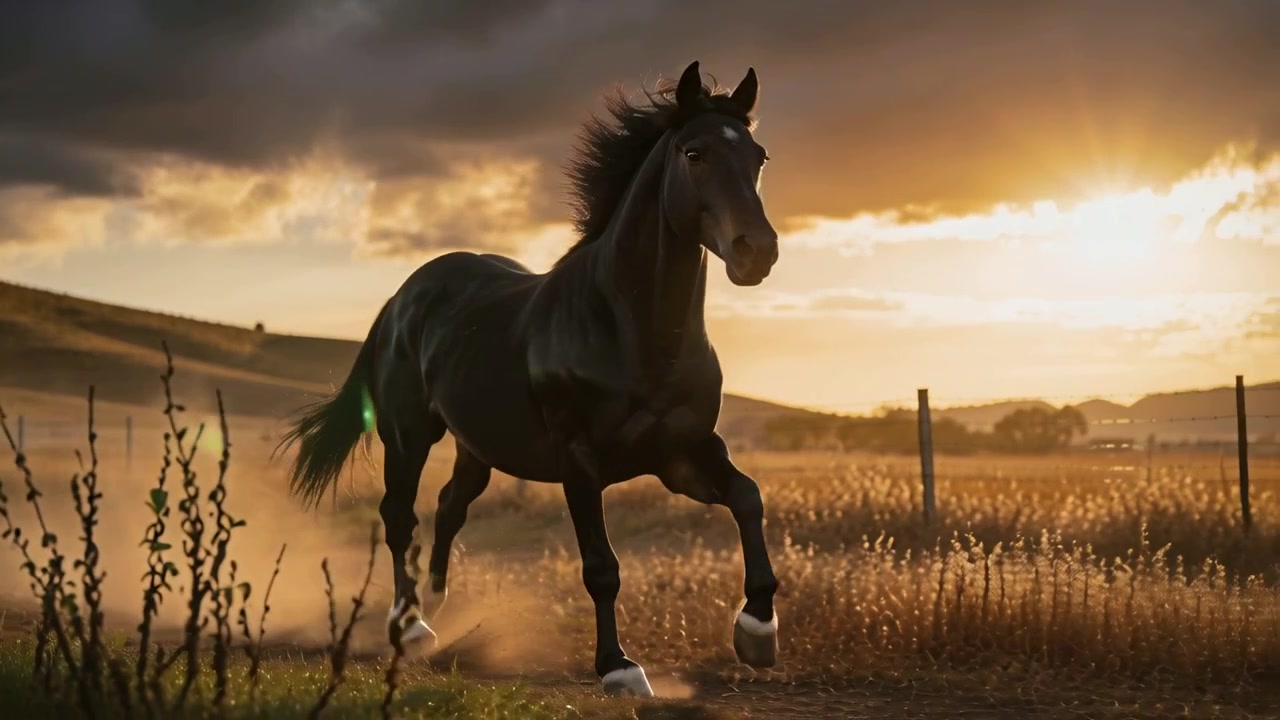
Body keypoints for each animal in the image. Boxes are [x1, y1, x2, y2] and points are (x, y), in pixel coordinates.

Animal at [279, 60, 780, 698]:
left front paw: (757, 632)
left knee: (449, 506)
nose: (755, 251)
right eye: (694, 153)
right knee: (399, 517)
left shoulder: (681, 453)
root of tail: (402, 298)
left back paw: (437, 602)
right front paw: (619, 667)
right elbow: (601, 566)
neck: (630, 329)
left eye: (759, 156)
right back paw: (411, 625)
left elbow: (748, 497)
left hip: (478, 446)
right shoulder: (580, 460)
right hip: (408, 435)